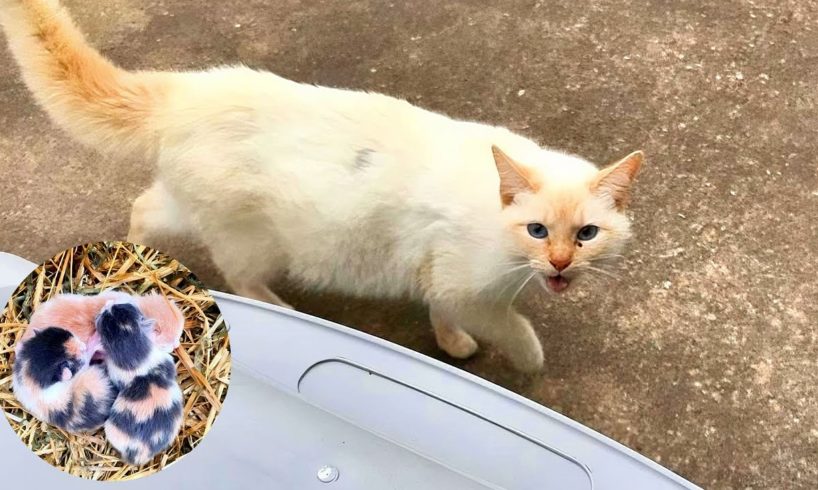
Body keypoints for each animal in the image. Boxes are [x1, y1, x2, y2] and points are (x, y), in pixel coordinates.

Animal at [3, 0, 644, 372]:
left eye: (587, 234)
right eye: (537, 230)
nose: (561, 263)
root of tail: (187, 91)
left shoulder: (439, 273)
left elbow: (441, 309)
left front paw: (451, 343)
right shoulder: (470, 288)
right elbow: (512, 326)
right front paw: (527, 359)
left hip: (188, 204)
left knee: (142, 207)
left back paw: (134, 252)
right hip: (256, 238)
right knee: (239, 275)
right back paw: (282, 308)